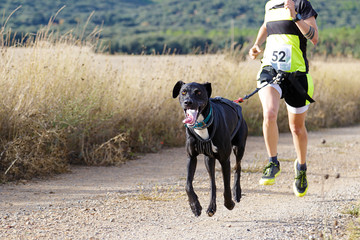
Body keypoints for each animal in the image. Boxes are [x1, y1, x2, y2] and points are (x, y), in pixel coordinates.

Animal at [172, 81, 248, 218]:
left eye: (198, 92)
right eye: (183, 92)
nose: (188, 102)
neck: (201, 124)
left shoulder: (224, 160)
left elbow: (226, 186)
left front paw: (229, 204)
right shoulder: (191, 157)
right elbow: (187, 185)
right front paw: (195, 207)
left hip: (239, 147)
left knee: (237, 167)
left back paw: (237, 192)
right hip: (209, 158)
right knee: (213, 183)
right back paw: (211, 207)